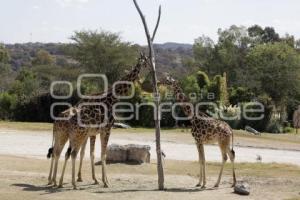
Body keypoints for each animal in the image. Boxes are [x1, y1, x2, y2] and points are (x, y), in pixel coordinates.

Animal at [50, 53, 151, 189]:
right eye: (146, 62)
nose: (152, 70)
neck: (112, 98)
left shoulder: (96, 132)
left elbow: (94, 153)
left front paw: (98, 179)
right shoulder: (106, 129)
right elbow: (102, 154)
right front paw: (105, 181)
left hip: (69, 135)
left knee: (62, 152)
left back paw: (56, 181)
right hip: (72, 135)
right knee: (67, 153)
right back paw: (63, 182)